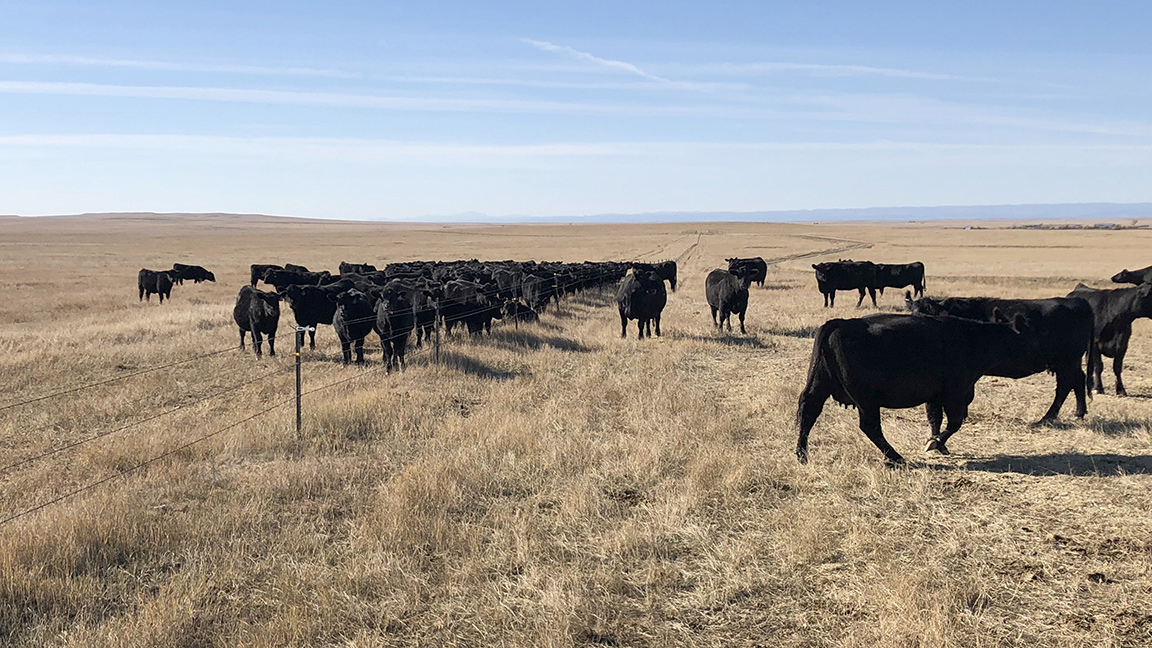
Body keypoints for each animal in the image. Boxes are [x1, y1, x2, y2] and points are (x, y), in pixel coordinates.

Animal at [797, 311, 1041, 461]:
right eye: (1029, 340)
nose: (1042, 361)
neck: (974, 340)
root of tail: (841, 323)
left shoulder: (934, 395)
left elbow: (935, 419)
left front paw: (938, 444)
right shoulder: (957, 392)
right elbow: (954, 422)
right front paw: (934, 443)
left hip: (819, 386)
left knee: (808, 414)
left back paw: (802, 455)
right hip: (866, 400)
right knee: (870, 426)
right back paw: (896, 457)